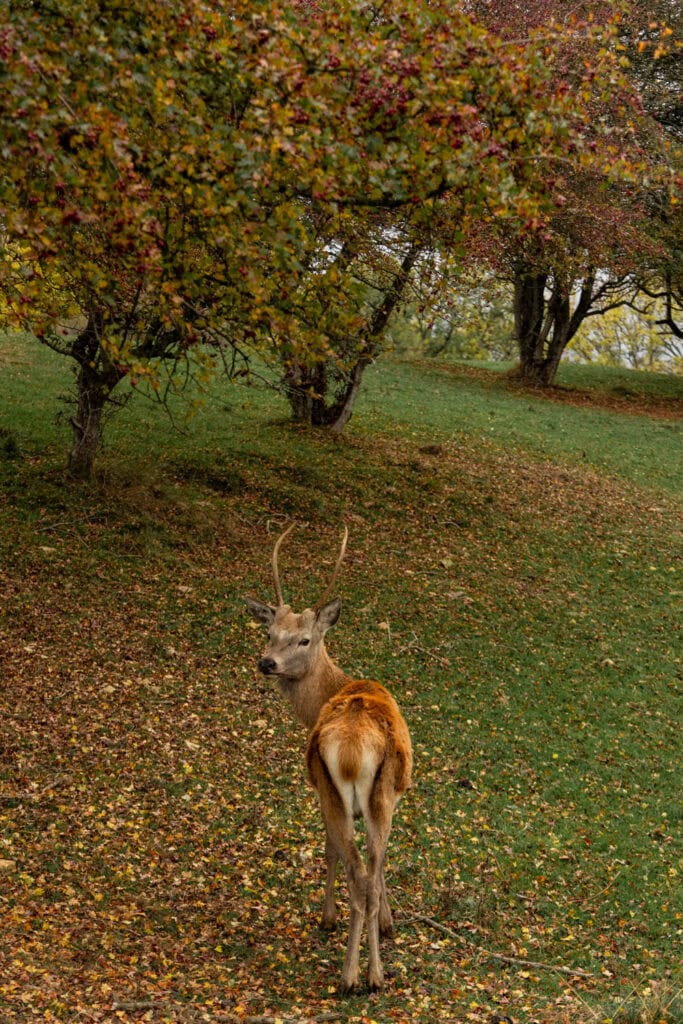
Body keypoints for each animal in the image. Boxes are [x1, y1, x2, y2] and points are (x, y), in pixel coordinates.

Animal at [245, 523, 412, 993]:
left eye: (303, 638)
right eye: (269, 632)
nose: (267, 662)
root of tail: (354, 750)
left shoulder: (322, 790)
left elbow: (331, 850)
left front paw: (328, 918)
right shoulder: (386, 800)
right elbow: (381, 862)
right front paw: (388, 923)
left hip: (335, 792)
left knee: (356, 870)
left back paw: (353, 975)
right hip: (370, 795)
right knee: (366, 874)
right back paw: (371, 974)